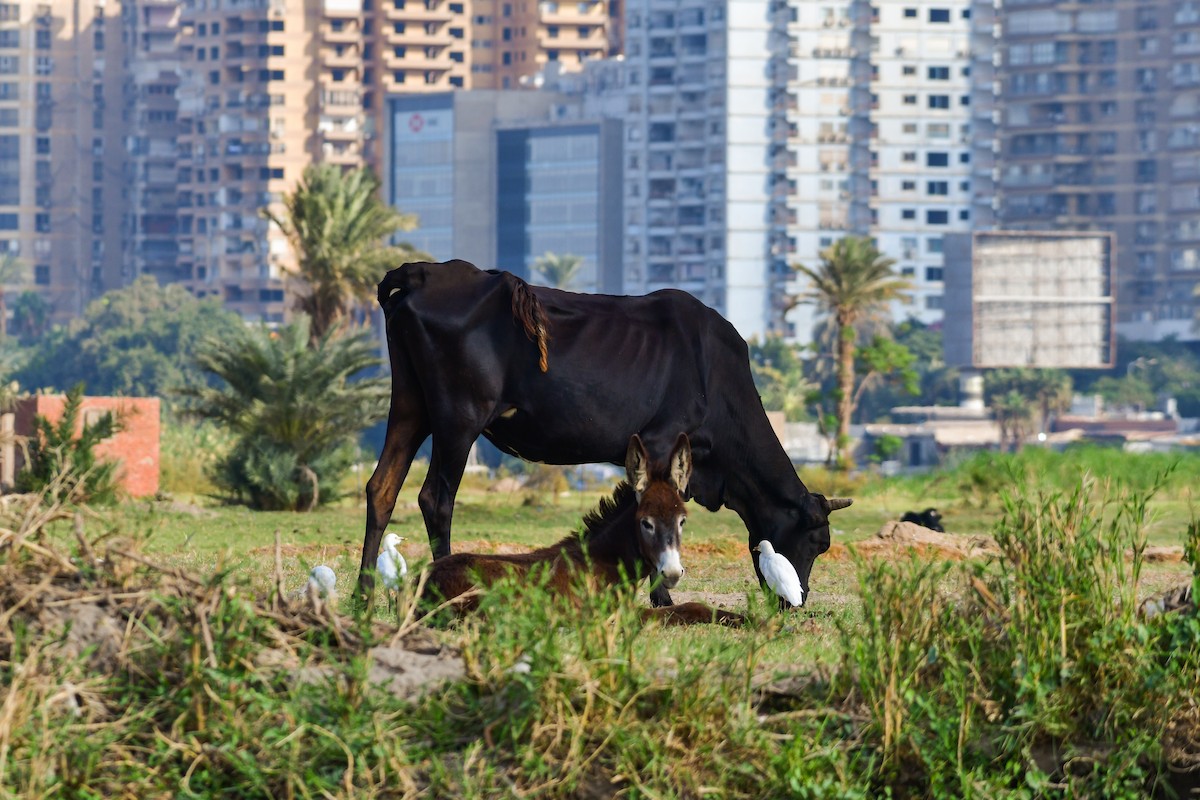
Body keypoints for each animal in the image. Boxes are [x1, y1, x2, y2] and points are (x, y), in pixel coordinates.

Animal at [358, 259, 852, 608]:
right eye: (819, 543)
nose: (796, 602)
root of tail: (424, 272)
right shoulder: (661, 438)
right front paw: (661, 594)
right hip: (459, 418)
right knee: (435, 498)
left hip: (410, 406)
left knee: (381, 488)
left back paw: (363, 596)